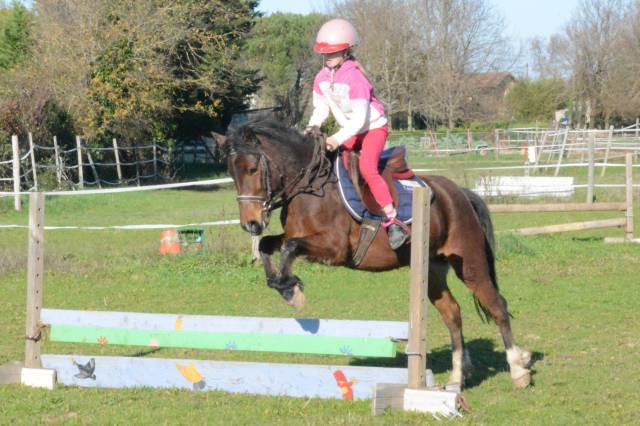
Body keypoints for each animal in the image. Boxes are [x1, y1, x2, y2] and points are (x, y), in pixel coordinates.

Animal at [214, 119, 532, 389]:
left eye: (252, 169)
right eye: (231, 172)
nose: (250, 224)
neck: (309, 188)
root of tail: (460, 193)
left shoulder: (334, 248)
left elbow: (290, 248)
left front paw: (291, 290)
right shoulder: (295, 235)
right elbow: (268, 245)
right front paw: (284, 287)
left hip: (468, 262)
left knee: (497, 305)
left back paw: (518, 370)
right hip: (431, 269)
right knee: (452, 313)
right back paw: (456, 377)